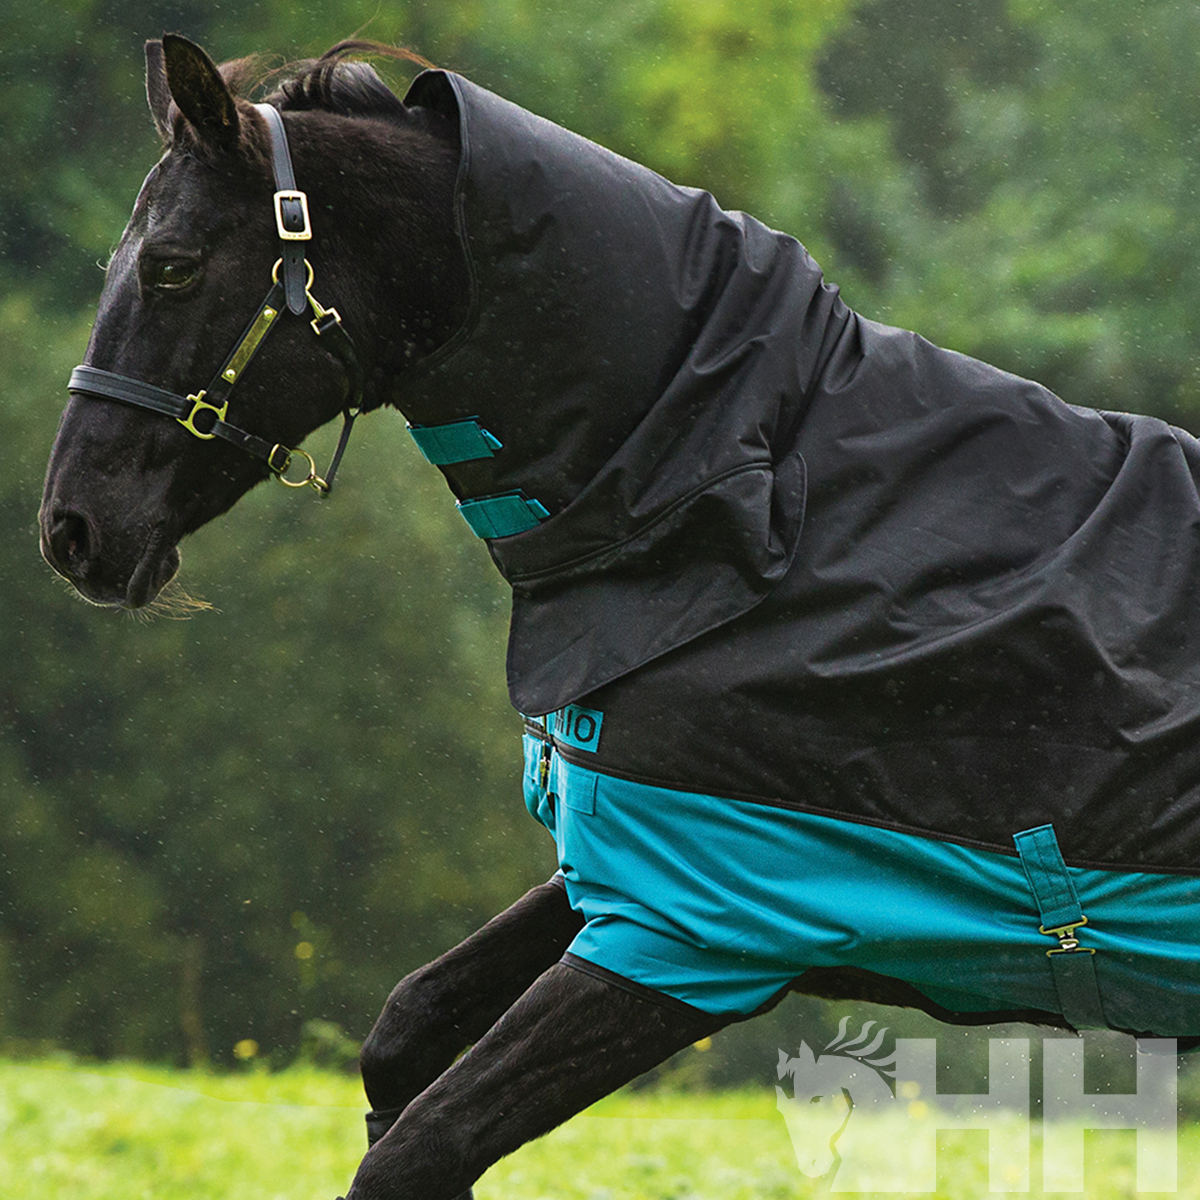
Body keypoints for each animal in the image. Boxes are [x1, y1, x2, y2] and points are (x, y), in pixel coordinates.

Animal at [39, 34, 1200, 1200]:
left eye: (171, 265)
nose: (71, 529)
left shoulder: (697, 935)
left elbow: (420, 1144)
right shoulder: (638, 868)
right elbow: (405, 1032)